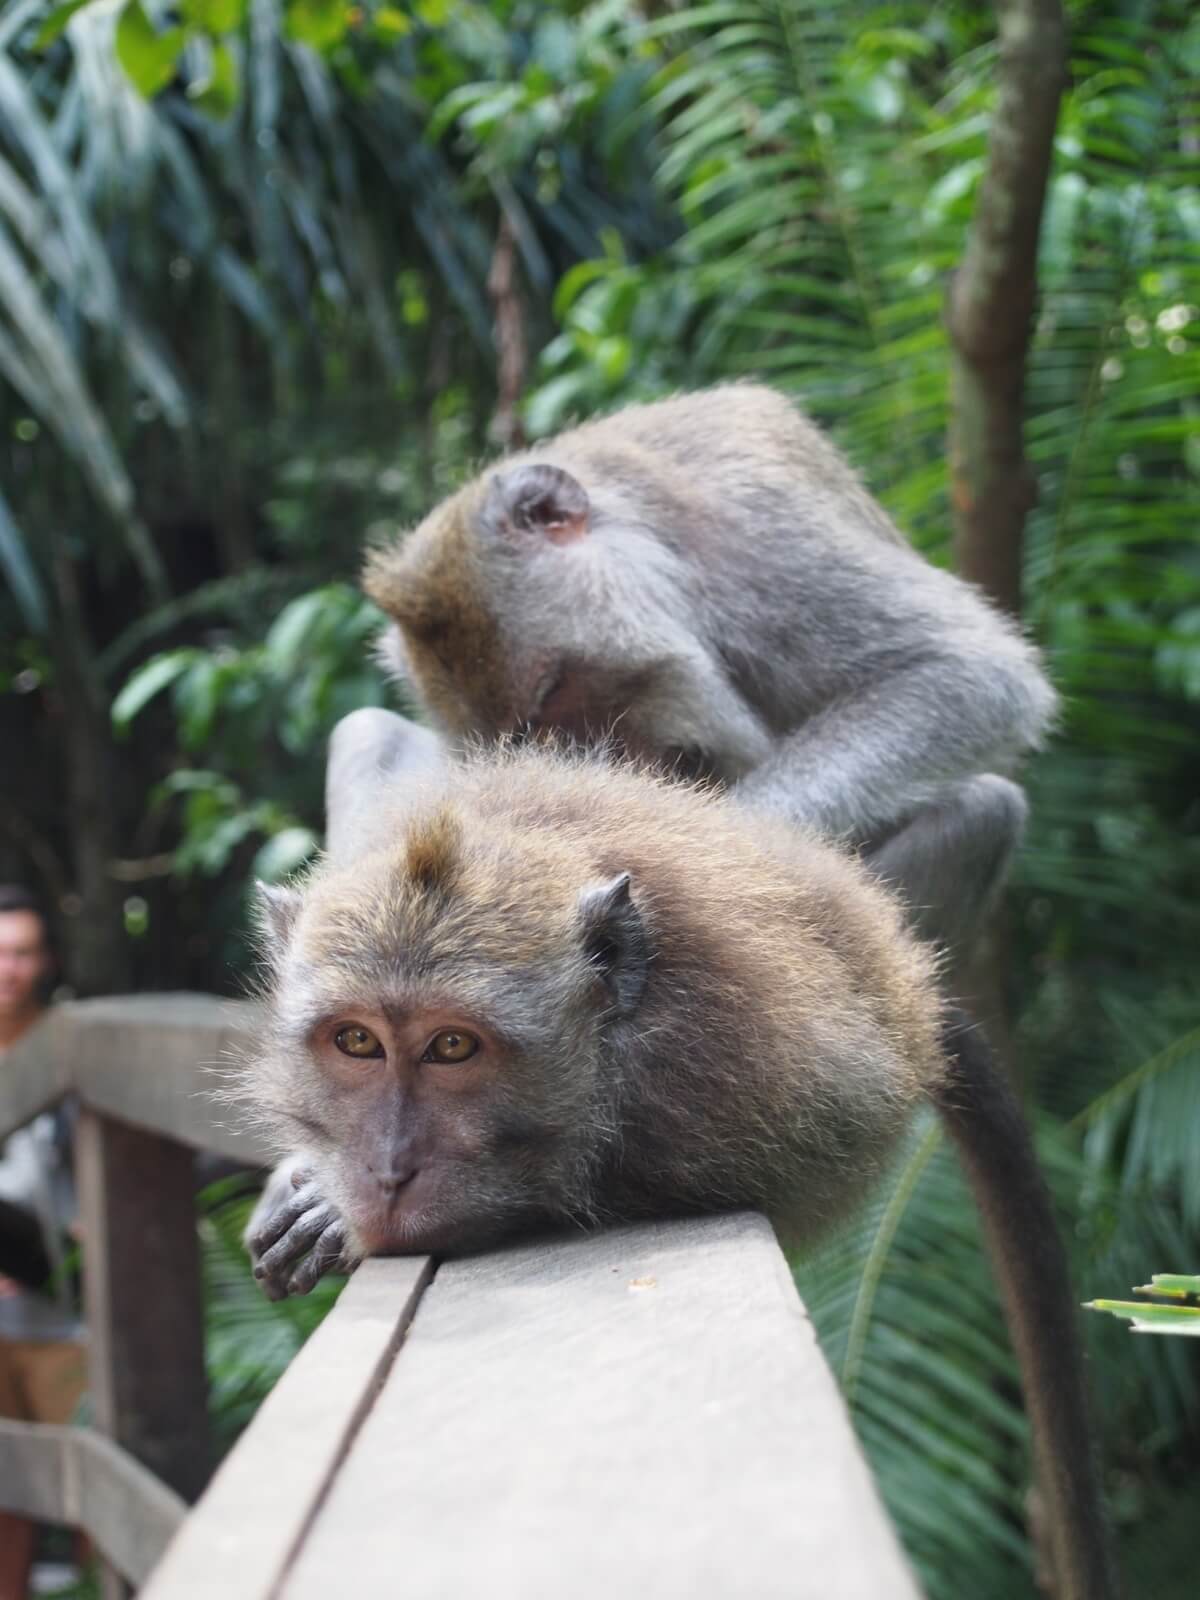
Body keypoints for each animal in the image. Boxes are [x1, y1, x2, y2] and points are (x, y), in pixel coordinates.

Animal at [244, 716, 1120, 1600]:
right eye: (358, 1042)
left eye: (452, 1047)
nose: (387, 1170)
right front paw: (308, 1186)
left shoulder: (741, 1076)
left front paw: (331, 1213)